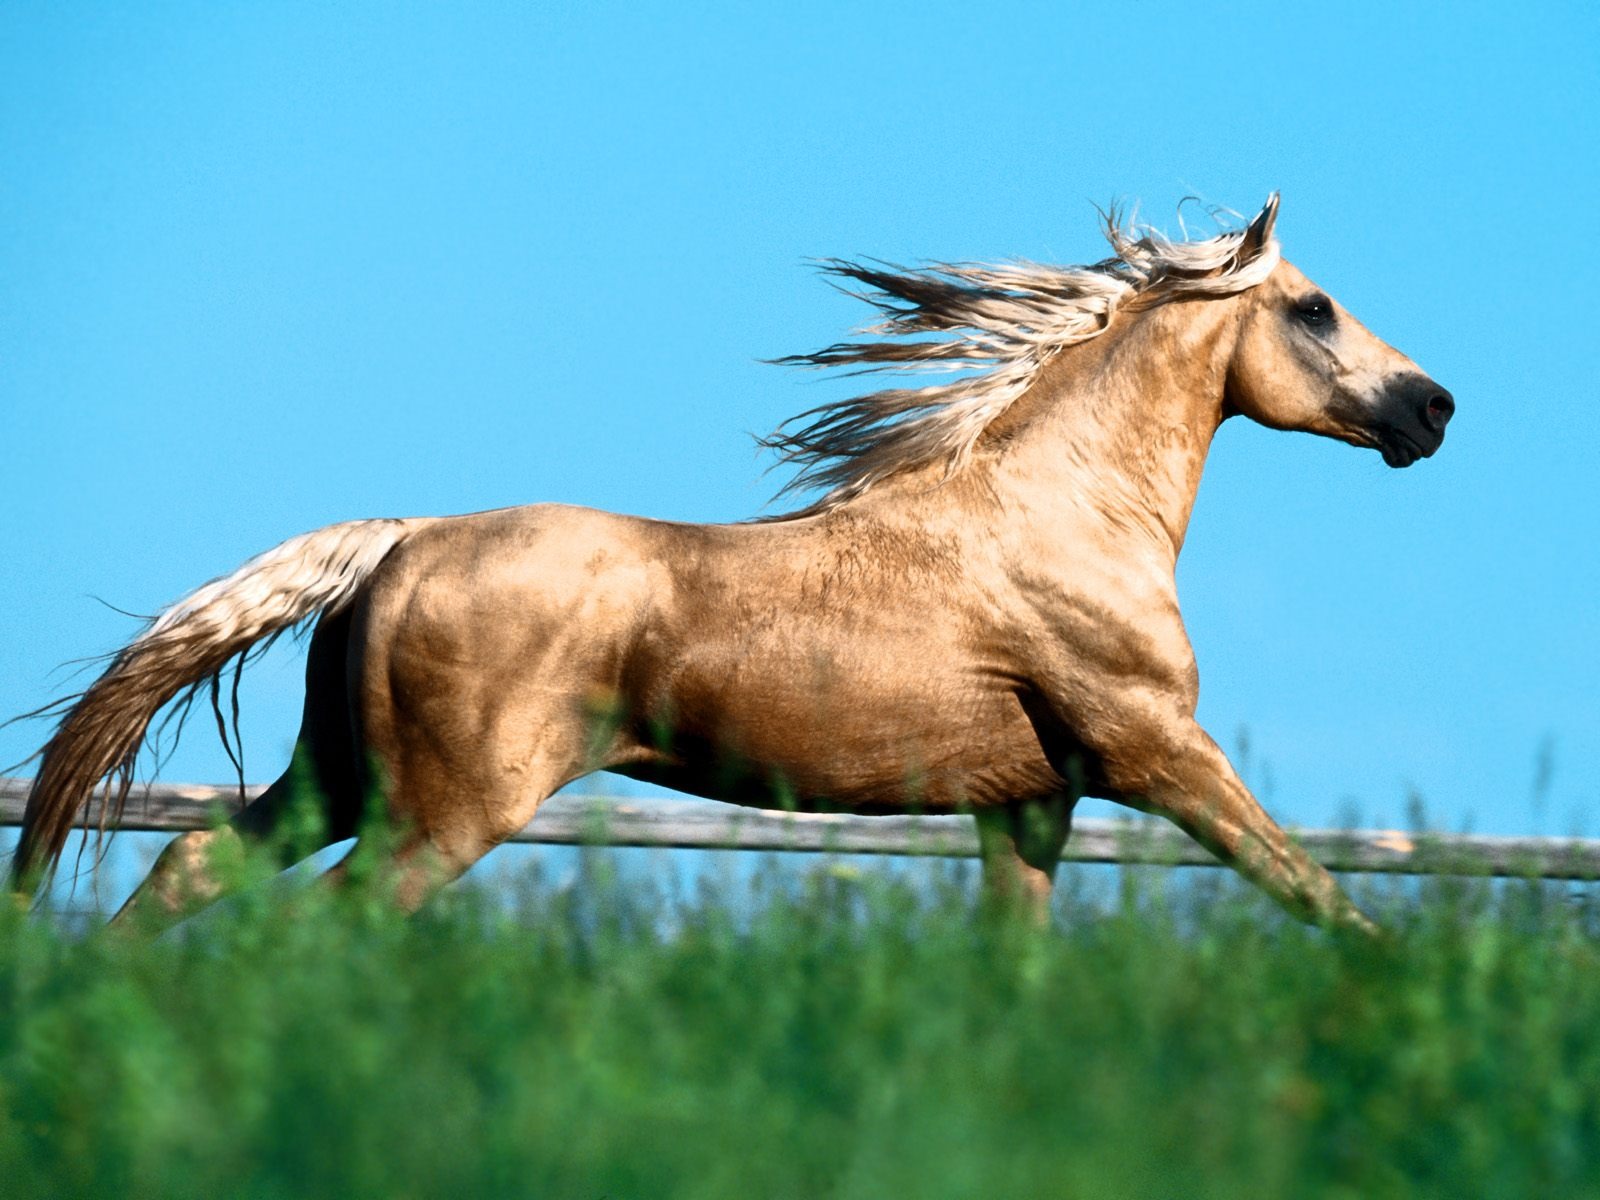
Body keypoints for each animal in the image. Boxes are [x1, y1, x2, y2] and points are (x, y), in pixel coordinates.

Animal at [6, 195, 1452, 940]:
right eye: (1314, 310)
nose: (1432, 409)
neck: (1059, 518)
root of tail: (399, 538)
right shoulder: (1157, 754)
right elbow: (1323, 899)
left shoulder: (1030, 807)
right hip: (446, 812)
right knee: (319, 925)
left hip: (338, 781)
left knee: (189, 870)